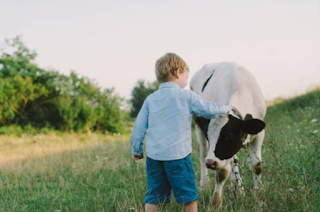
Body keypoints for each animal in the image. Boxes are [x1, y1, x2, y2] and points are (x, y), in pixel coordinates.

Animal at [190, 62, 268, 208]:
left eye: (229, 135)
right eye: (209, 135)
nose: (210, 162)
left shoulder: (259, 133)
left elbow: (256, 165)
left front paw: (258, 196)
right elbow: (222, 172)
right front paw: (215, 203)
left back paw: (238, 190)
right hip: (197, 126)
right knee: (203, 153)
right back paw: (205, 186)